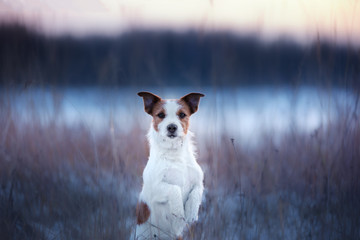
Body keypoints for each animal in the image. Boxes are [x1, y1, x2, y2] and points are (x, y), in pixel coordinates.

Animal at [134, 91, 204, 239]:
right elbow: (174, 189)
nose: (172, 127)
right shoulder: (155, 187)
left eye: (182, 114)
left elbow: (196, 193)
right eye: (161, 115)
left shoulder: (199, 183)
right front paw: (178, 212)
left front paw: (191, 213)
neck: (174, 153)